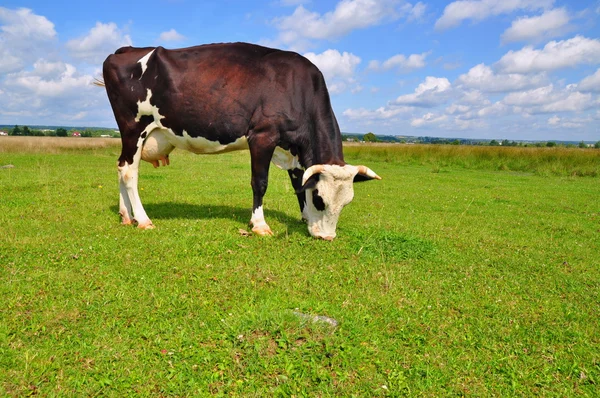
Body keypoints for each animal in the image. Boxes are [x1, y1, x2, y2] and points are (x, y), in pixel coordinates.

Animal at [99, 41, 380, 239]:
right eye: (321, 199)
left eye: (346, 202)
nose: (327, 237)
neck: (298, 89)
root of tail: (126, 49)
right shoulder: (263, 136)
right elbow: (260, 183)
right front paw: (260, 225)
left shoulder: (292, 147)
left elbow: (299, 182)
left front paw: (303, 217)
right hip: (134, 127)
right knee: (129, 171)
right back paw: (143, 220)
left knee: (121, 166)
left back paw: (126, 216)